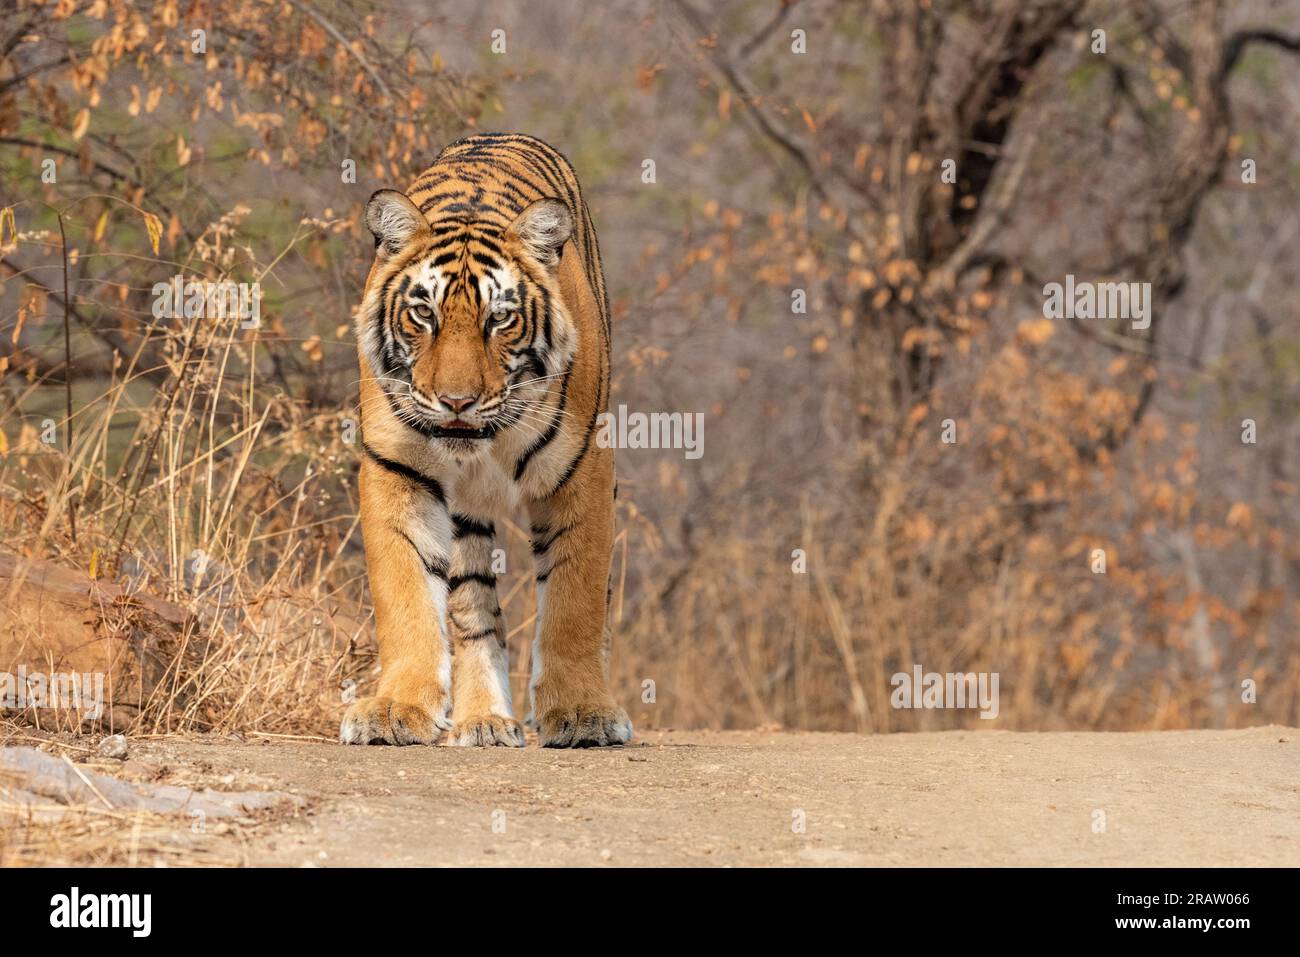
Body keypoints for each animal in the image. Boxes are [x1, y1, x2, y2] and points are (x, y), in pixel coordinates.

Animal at [340, 132, 634, 748]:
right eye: (422, 313)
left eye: (500, 319)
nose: (456, 401)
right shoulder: (396, 469)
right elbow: (404, 591)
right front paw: (396, 709)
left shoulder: (585, 470)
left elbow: (575, 597)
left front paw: (582, 713)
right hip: (465, 517)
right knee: (474, 609)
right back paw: (484, 721)